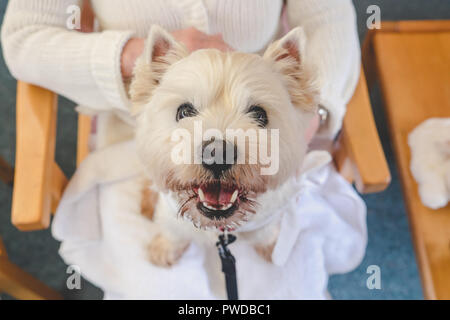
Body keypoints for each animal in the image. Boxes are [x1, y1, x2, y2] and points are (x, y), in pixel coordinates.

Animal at [130, 25, 320, 266]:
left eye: (260, 114)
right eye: (184, 111)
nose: (217, 154)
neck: (220, 227)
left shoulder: (267, 219)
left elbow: (265, 234)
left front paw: (272, 249)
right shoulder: (171, 216)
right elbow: (173, 231)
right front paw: (164, 249)